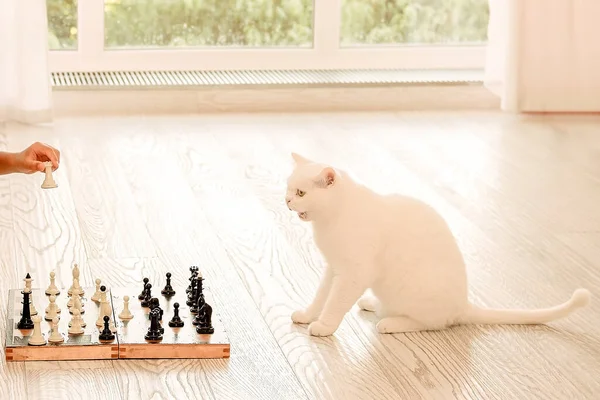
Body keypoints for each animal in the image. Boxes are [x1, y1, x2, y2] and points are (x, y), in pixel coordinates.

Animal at [286, 152, 592, 336]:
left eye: (301, 193)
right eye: (288, 188)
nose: (287, 201)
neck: (331, 221)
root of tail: (463, 305)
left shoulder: (353, 274)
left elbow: (335, 302)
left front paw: (324, 326)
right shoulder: (334, 269)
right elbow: (321, 296)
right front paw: (308, 315)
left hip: (415, 296)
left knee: (430, 324)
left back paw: (390, 323)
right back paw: (373, 303)